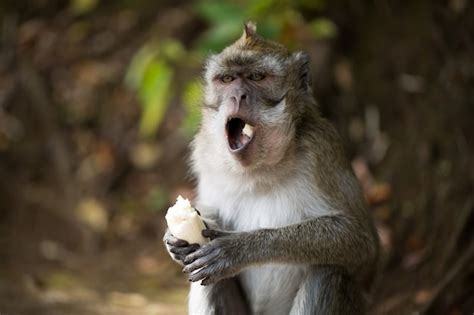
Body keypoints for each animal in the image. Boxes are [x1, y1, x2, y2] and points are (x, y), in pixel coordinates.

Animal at [165, 21, 380, 314]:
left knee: (328, 272)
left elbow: (360, 241)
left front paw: (239, 248)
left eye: (256, 77)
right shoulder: (204, 152)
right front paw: (175, 241)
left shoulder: (322, 150)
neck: (260, 169)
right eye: (227, 80)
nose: (237, 95)